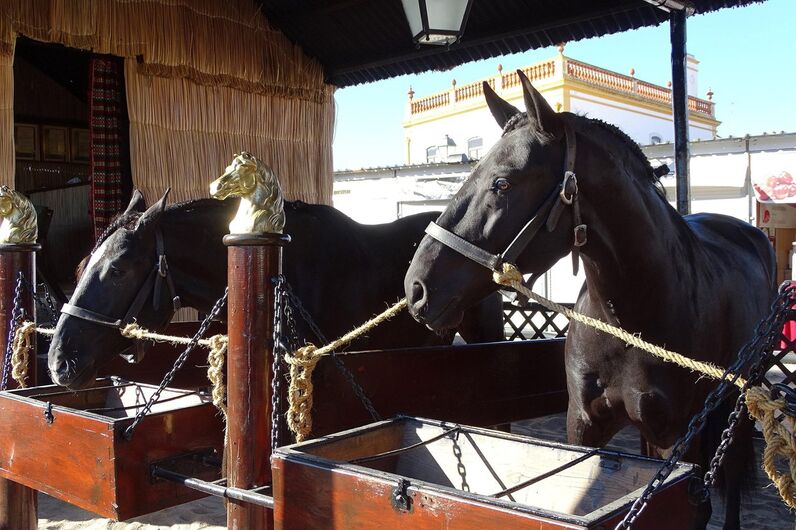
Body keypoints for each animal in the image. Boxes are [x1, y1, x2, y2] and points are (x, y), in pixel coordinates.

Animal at [404, 70, 776, 529]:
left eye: (502, 182)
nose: (416, 286)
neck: (629, 320)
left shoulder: (677, 435)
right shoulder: (584, 425)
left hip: (742, 399)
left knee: (734, 466)